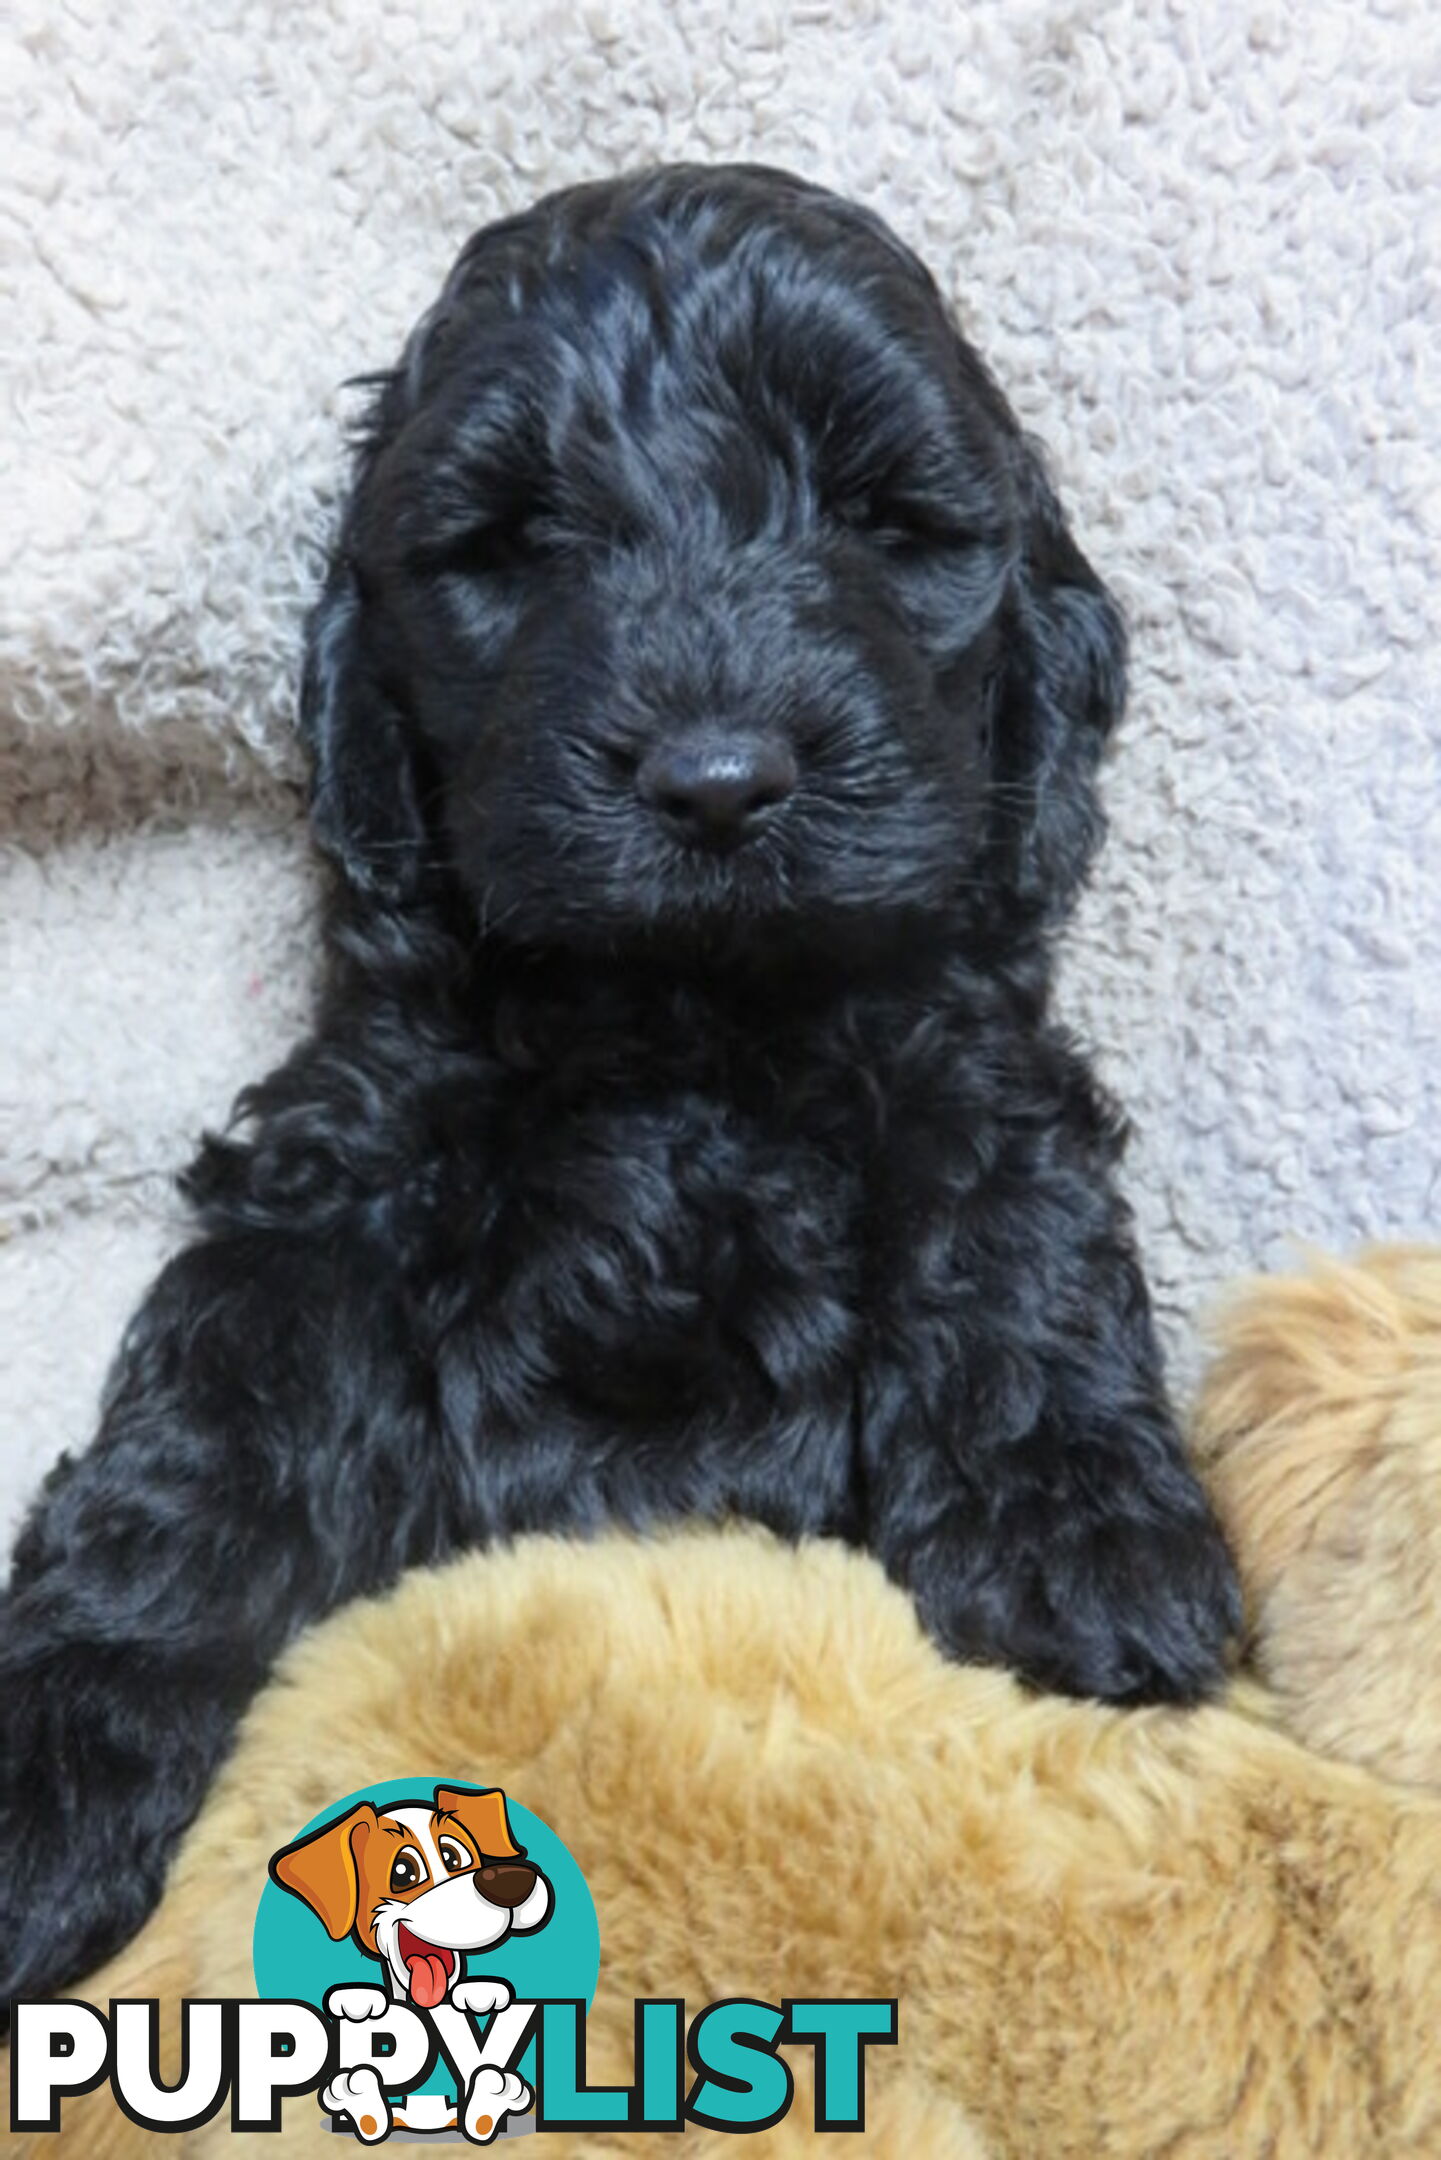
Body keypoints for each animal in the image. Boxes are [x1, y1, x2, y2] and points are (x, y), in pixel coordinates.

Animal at [0, 164, 1244, 2004]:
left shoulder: (964, 1049)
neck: (688, 1021)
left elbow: (1012, 1223)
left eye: (881, 522)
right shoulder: (341, 1161)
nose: (718, 779)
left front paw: (1087, 1537)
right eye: (516, 547)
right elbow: (209, 1422)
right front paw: (57, 1738)